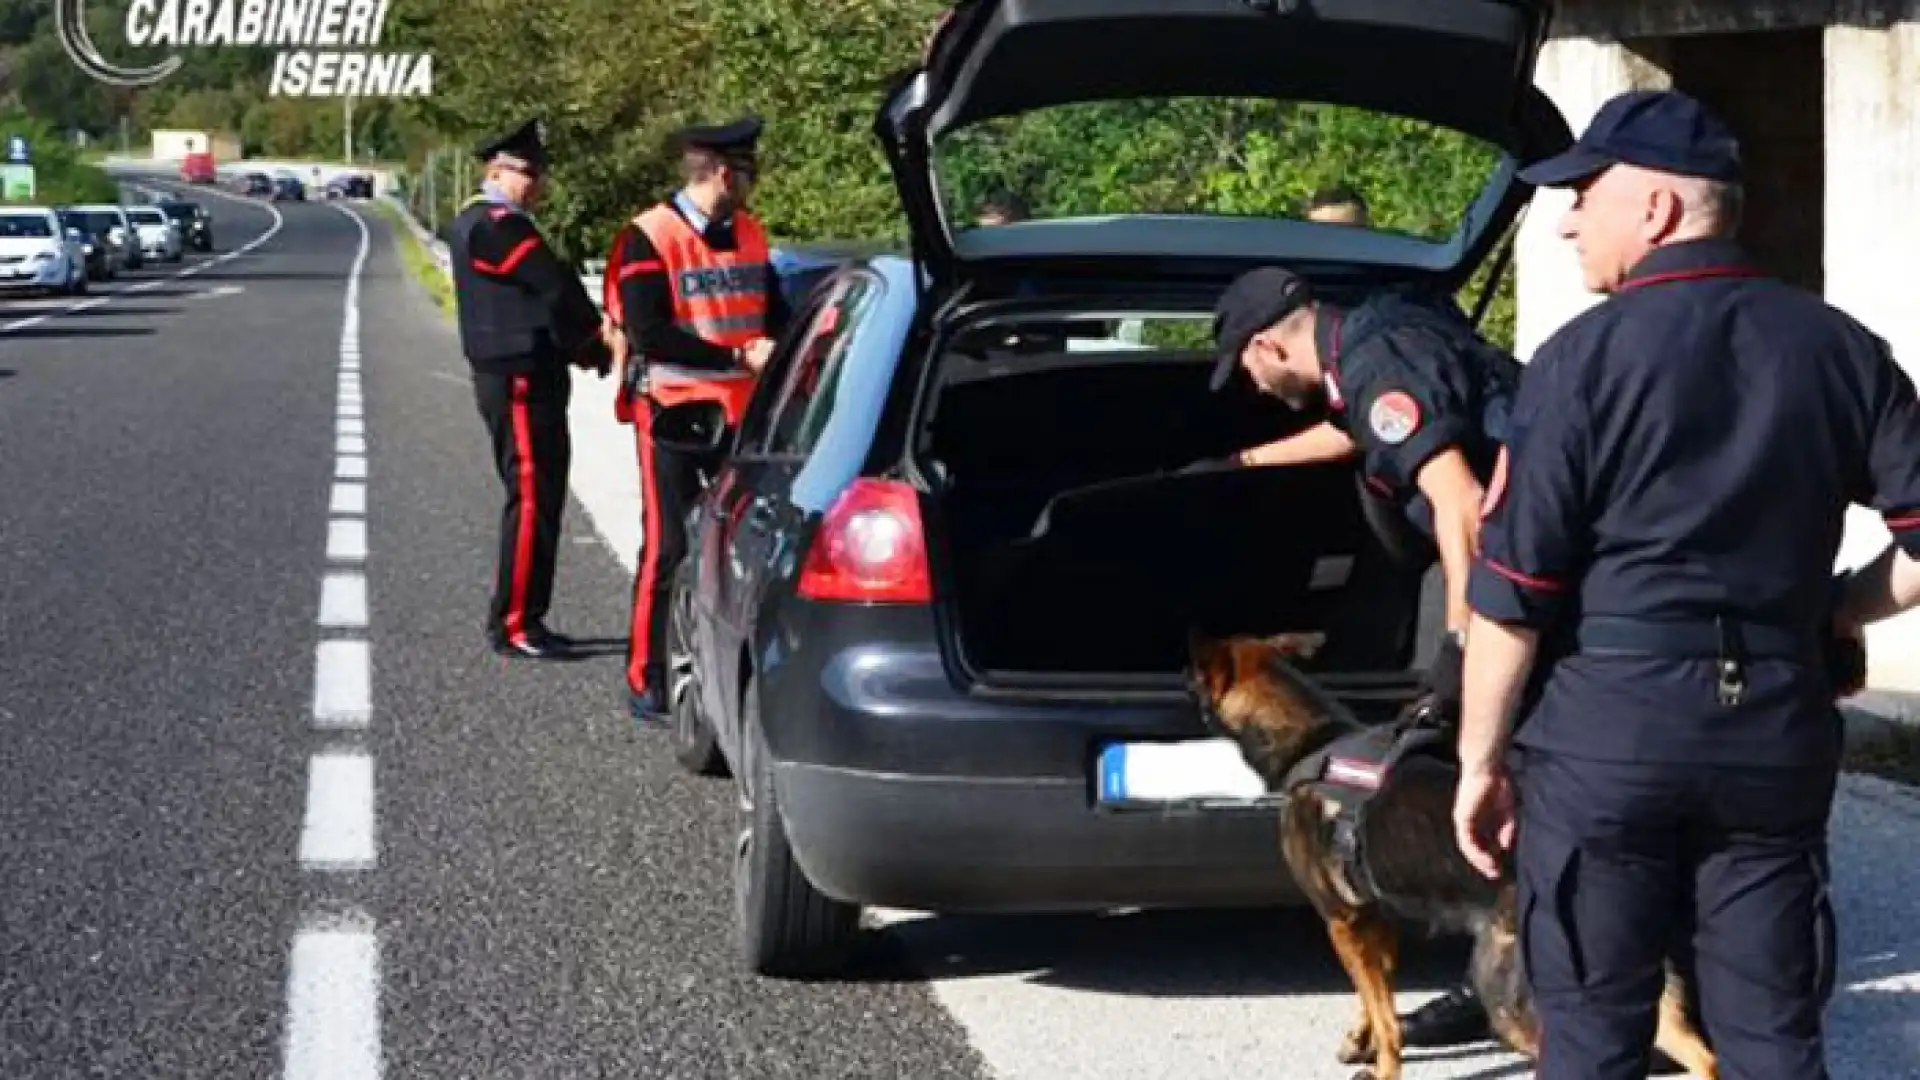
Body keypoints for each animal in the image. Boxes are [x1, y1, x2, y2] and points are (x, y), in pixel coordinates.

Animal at [1175, 626, 1720, 1076]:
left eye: (1194, 679)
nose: (1179, 680)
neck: (1313, 740)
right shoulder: (1376, 919)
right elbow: (1374, 998)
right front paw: (1360, 1041)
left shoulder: (1342, 920)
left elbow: (1384, 1016)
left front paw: (1382, 1068)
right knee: (1703, 1058)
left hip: (1509, 991)